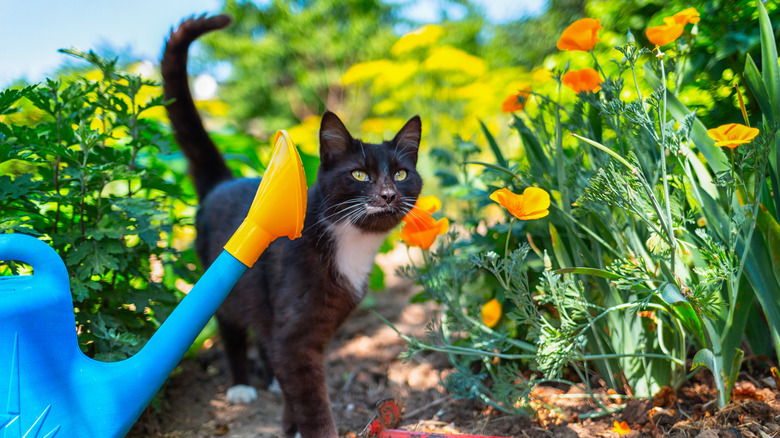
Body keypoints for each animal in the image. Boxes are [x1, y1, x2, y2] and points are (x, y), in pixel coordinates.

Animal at [161, 13, 424, 438]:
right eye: (360, 175)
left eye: (401, 174)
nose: (387, 194)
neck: (348, 242)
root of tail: (222, 182)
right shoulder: (295, 335)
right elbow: (310, 396)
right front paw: (311, 428)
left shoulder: (314, 328)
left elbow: (294, 381)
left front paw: (291, 423)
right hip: (225, 281)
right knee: (232, 327)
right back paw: (241, 385)